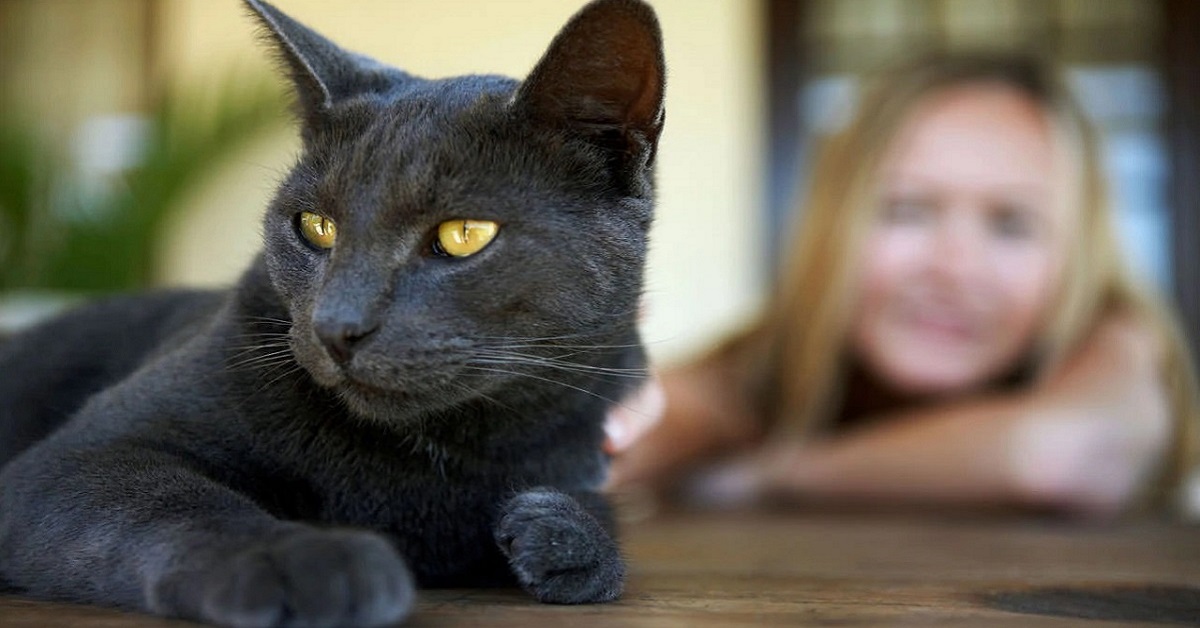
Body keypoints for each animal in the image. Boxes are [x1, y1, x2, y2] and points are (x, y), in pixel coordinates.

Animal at [0, 2, 667, 624]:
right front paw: (304, 561)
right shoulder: (76, 459)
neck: (429, 449)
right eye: (315, 226)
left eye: (464, 235)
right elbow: (175, 503)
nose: (336, 328)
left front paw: (565, 535)